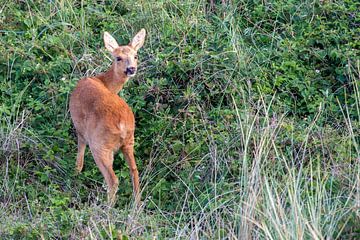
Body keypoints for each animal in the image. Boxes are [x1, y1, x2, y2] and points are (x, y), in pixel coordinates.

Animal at [69, 29, 146, 205]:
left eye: (136, 55)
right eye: (118, 57)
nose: (131, 69)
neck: (103, 81)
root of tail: (122, 125)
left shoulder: (80, 128)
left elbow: (80, 151)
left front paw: (76, 172)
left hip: (100, 145)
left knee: (113, 180)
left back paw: (107, 207)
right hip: (129, 141)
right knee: (134, 170)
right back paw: (137, 204)